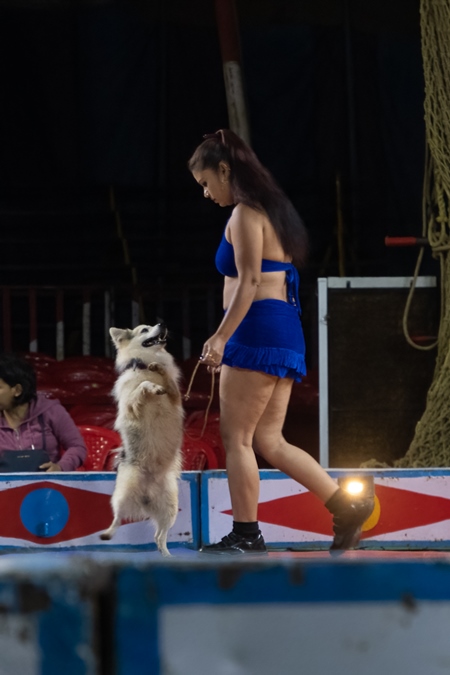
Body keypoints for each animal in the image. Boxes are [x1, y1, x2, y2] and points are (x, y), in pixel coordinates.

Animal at [101, 324, 185, 556]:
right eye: (144, 329)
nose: (162, 324)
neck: (145, 363)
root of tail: (147, 492)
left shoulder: (175, 396)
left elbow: (168, 383)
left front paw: (160, 370)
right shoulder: (131, 406)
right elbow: (144, 386)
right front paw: (153, 387)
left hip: (170, 509)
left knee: (159, 536)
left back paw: (166, 555)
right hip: (122, 495)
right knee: (117, 518)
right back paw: (107, 533)